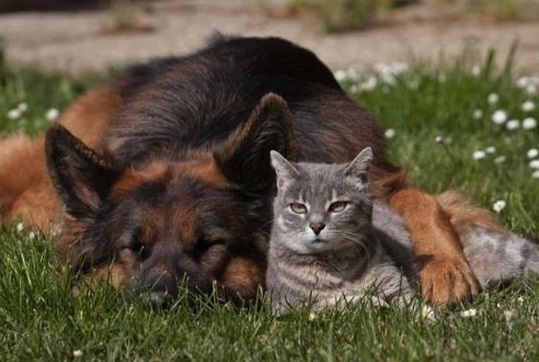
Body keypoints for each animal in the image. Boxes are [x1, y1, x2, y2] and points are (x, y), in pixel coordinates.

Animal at [0, 34, 494, 306]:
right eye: (132, 250)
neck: (203, 133)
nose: (156, 303)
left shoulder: (375, 173)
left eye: (210, 244)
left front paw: (445, 268)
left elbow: (420, 198)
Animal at [268, 147, 539, 314]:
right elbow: (336, 302)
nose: (316, 225)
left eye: (338, 206)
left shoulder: (398, 288)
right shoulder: (289, 307)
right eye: (298, 207)